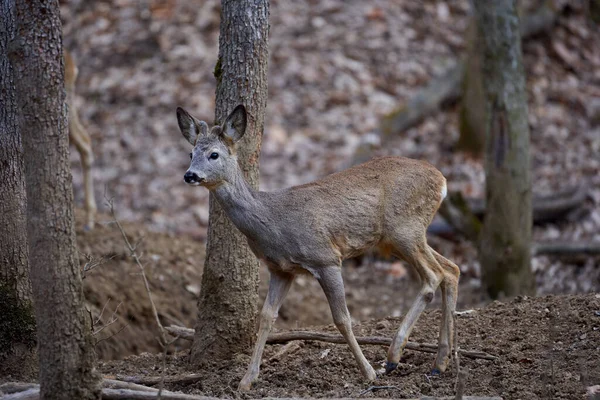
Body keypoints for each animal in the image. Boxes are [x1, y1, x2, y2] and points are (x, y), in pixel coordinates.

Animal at [176, 104, 462, 390]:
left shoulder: (325, 258)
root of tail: (443, 181)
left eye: (214, 154)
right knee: (451, 269)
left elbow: (342, 318)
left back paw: (393, 357)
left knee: (433, 275)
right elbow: (267, 316)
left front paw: (368, 372)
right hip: (400, 238)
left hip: (405, 228)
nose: (190, 175)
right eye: (191, 153)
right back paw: (439, 363)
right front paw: (246, 381)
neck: (272, 220)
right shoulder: (281, 269)